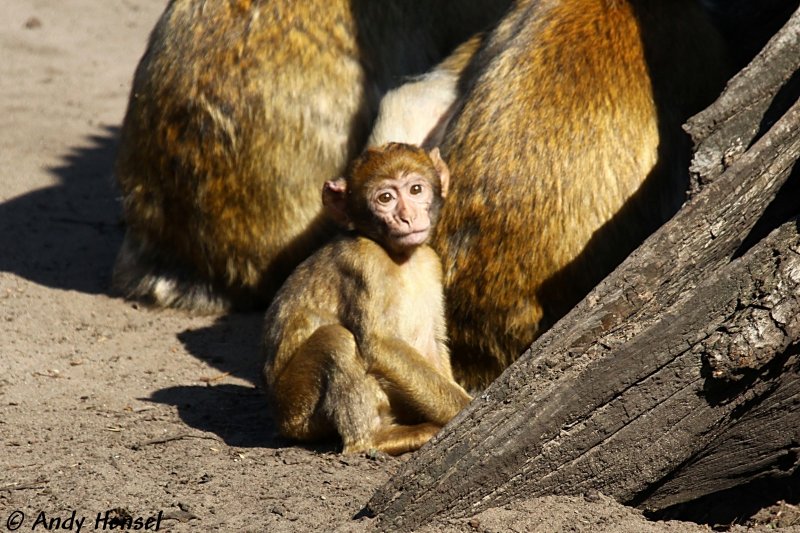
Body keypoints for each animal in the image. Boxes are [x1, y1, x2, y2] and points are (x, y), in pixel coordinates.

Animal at [262, 141, 468, 454]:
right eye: (385, 198)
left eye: (415, 190)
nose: (407, 216)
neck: (399, 256)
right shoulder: (365, 262)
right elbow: (379, 345)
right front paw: (467, 407)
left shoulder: (431, 263)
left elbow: (432, 342)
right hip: (295, 409)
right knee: (336, 340)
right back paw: (375, 439)